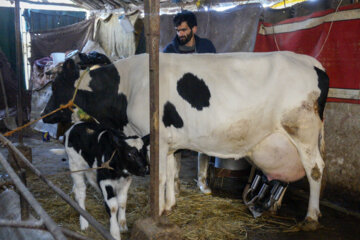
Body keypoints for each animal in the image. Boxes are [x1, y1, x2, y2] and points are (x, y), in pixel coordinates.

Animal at [42, 51, 330, 231]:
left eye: (55, 85)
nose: (46, 114)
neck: (128, 87)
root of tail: (312, 62)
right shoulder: (168, 141)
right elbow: (171, 172)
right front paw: (170, 205)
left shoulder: (154, 138)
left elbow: (159, 176)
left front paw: (158, 210)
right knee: (289, 175)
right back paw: (276, 205)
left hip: (302, 131)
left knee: (315, 169)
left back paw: (311, 217)